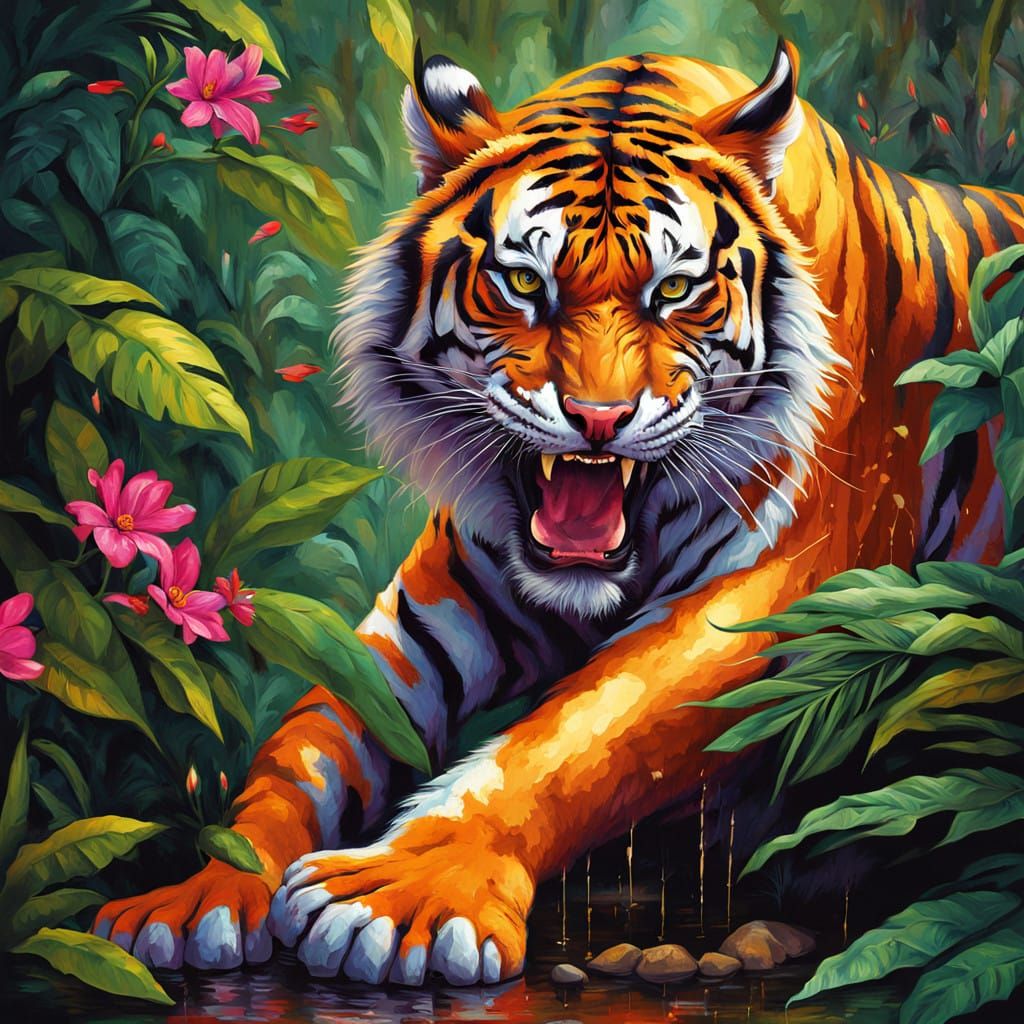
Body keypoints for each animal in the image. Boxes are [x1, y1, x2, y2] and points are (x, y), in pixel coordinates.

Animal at [93, 39, 1022, 984]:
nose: (599, 418)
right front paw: (205, 892)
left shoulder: (770, 592)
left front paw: (399, 896)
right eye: (521, 281)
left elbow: (571, 740)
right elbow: (311, 744)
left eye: (675, 291)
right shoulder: (437, 606)